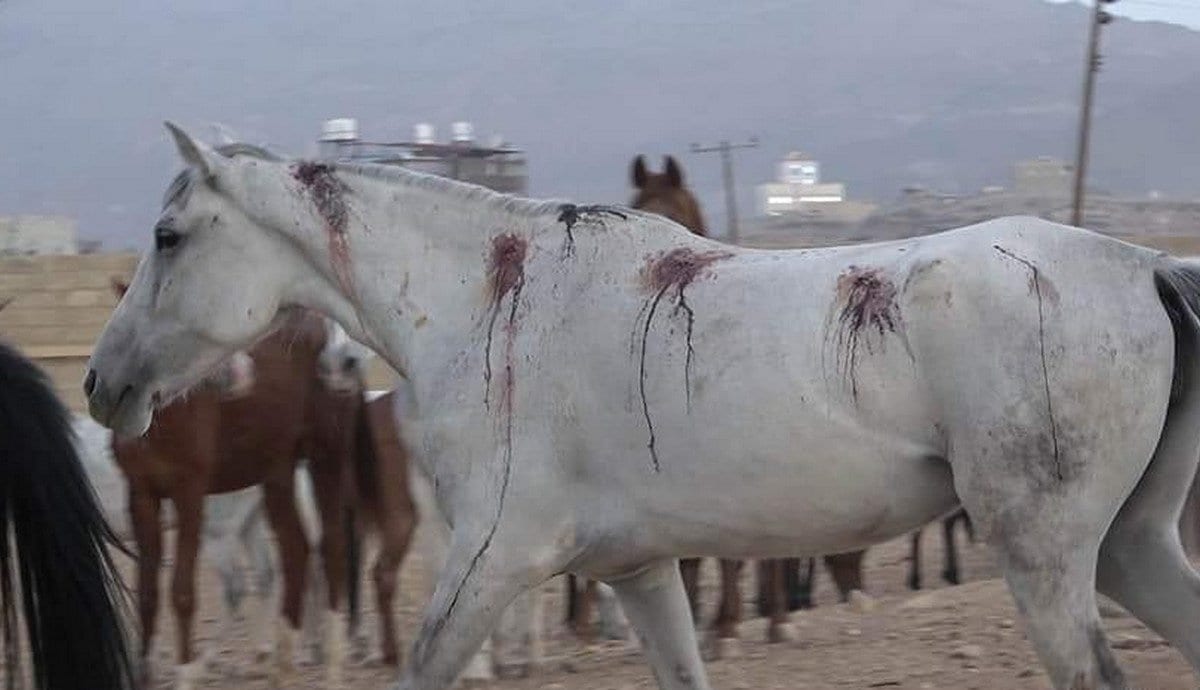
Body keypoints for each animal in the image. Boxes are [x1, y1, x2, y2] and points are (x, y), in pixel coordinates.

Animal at [85, 124, 1200, 690]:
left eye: (170, 237)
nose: (102, 385)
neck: (491, 304)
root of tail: (1147, 266)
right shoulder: (638, 569)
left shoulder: (493, 557)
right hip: (1130, 547)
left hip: (1045, 555)